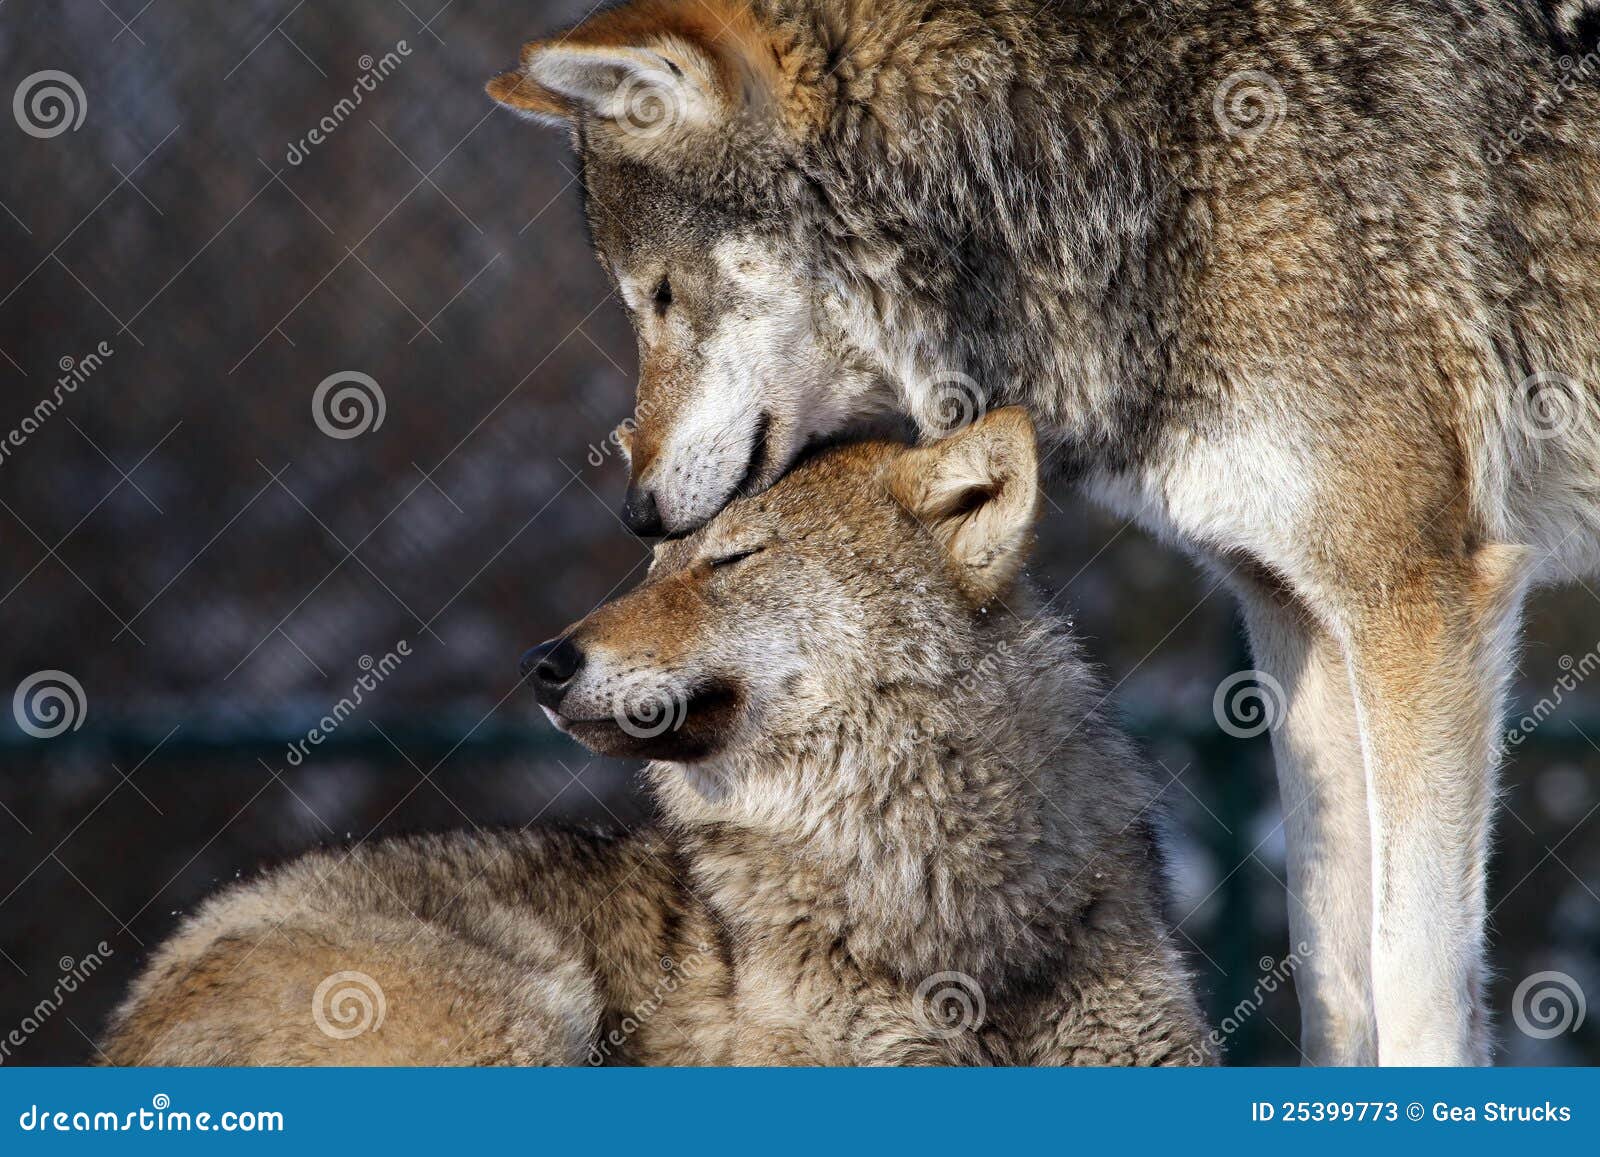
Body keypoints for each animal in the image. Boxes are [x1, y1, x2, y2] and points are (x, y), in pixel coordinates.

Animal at [483, 2, 1600, 1068]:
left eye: (661, 295)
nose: (636, 508)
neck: (1132, 167)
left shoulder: (1415, 597)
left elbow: (1414, 984)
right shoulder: (1292, 610)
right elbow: (1336, 976)